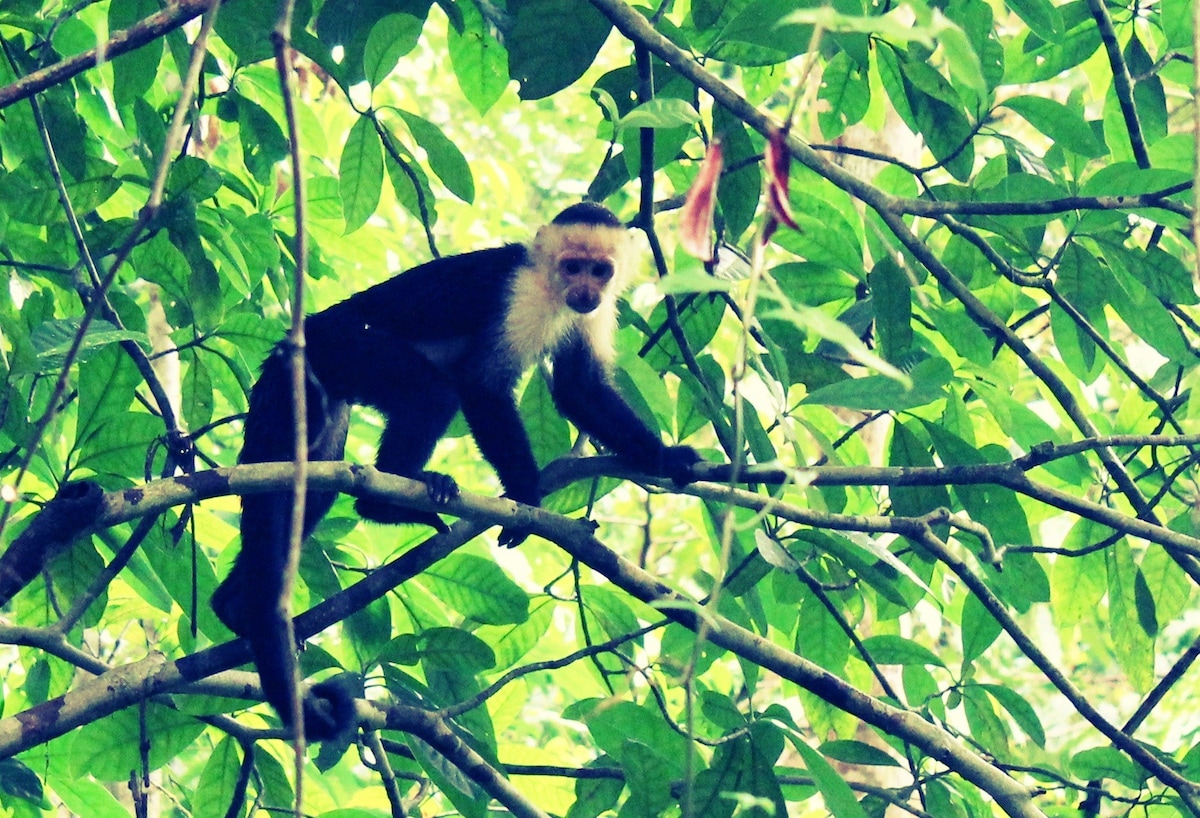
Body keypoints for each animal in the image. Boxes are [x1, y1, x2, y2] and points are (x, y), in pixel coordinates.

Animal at [213, 202, 700, 738]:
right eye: (572, 266)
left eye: (600, 271)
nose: (586, 291)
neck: (551, 290)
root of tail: (297, 340)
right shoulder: (519, 296)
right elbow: (481, 385)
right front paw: (526, 495)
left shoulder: (592, 315)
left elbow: (580, 387)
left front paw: (666, 459)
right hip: (346, 346)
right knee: (432, 393)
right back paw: (384, 505)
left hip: (325, 394)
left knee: (307, 493)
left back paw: (232, 608)